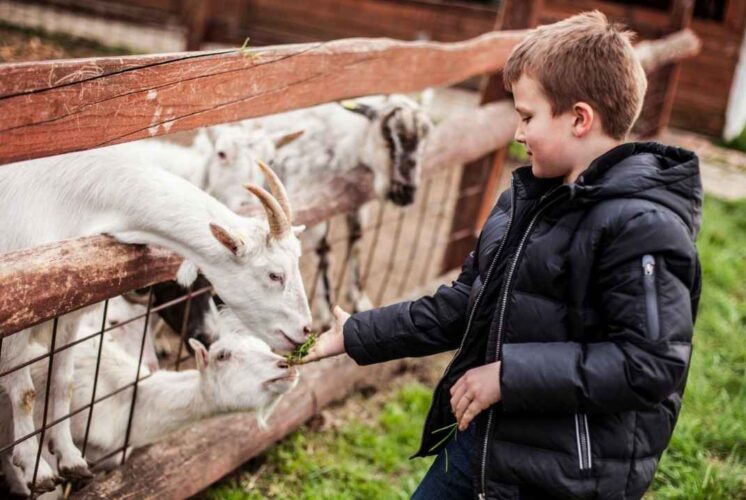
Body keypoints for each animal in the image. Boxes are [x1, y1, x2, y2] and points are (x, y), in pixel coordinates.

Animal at [0, 147, 311, 492]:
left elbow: (62, 381)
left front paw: (69, 457)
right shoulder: (17, 319)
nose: (305, 330)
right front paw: (35, 468)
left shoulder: (67, 316)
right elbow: (25, 394)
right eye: (274, 274)